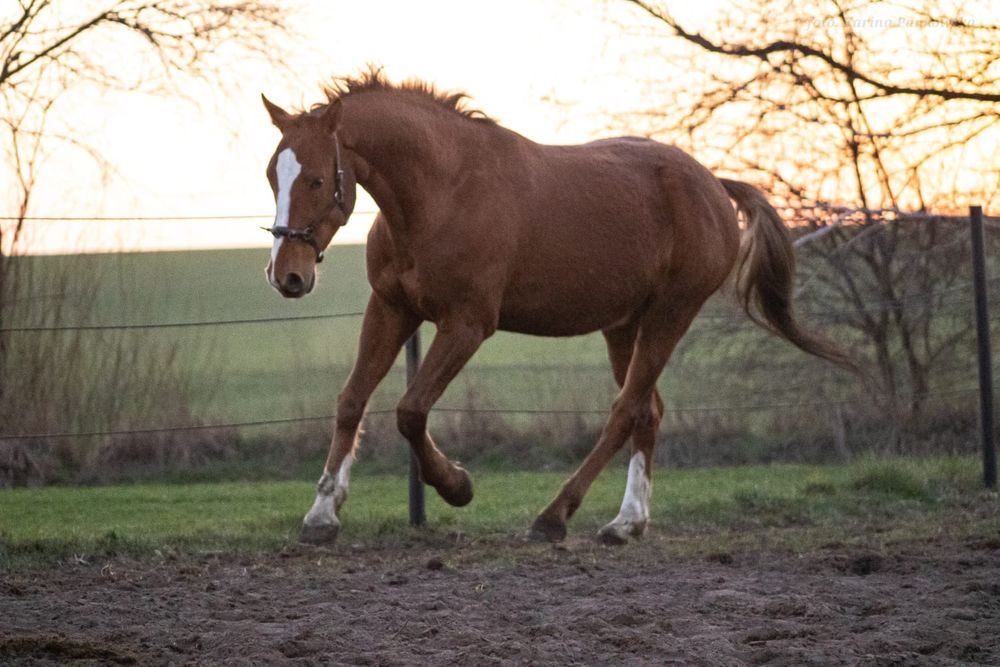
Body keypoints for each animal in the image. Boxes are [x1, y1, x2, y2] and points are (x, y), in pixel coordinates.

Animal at [262, 69, 848, 548]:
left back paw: (555, 517)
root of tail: (712, 184)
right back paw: (626, 523)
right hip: (625, 326)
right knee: (648, 412)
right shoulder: (391, 310)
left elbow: (410, 410)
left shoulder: (467, 325)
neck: (442, 194)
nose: (287, 276)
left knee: (624, 412)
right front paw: (322, 514)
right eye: (272, 175)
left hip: (669, 315)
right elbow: (351, 401)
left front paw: (457, 486)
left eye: (316, 179)